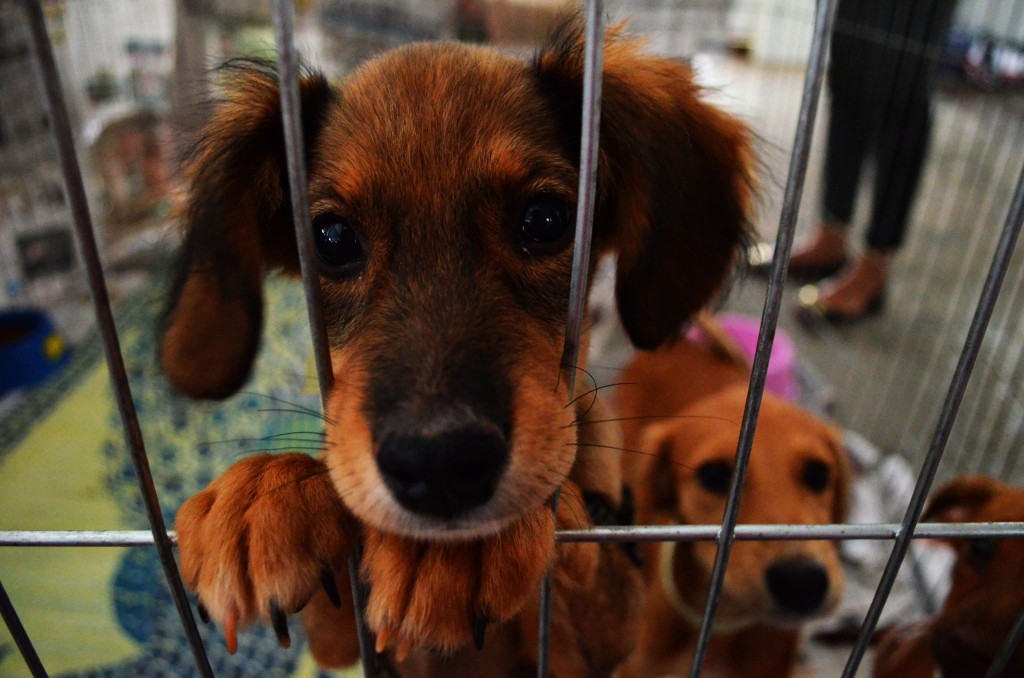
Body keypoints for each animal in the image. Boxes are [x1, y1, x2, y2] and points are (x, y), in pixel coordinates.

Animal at [159, 15, 753, 678]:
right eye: (330, 238)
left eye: (546, 220)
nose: (440, 463)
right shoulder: (345, 648)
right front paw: (265, 491)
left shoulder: (606, 635)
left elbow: (584, 551)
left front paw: (472, 546)